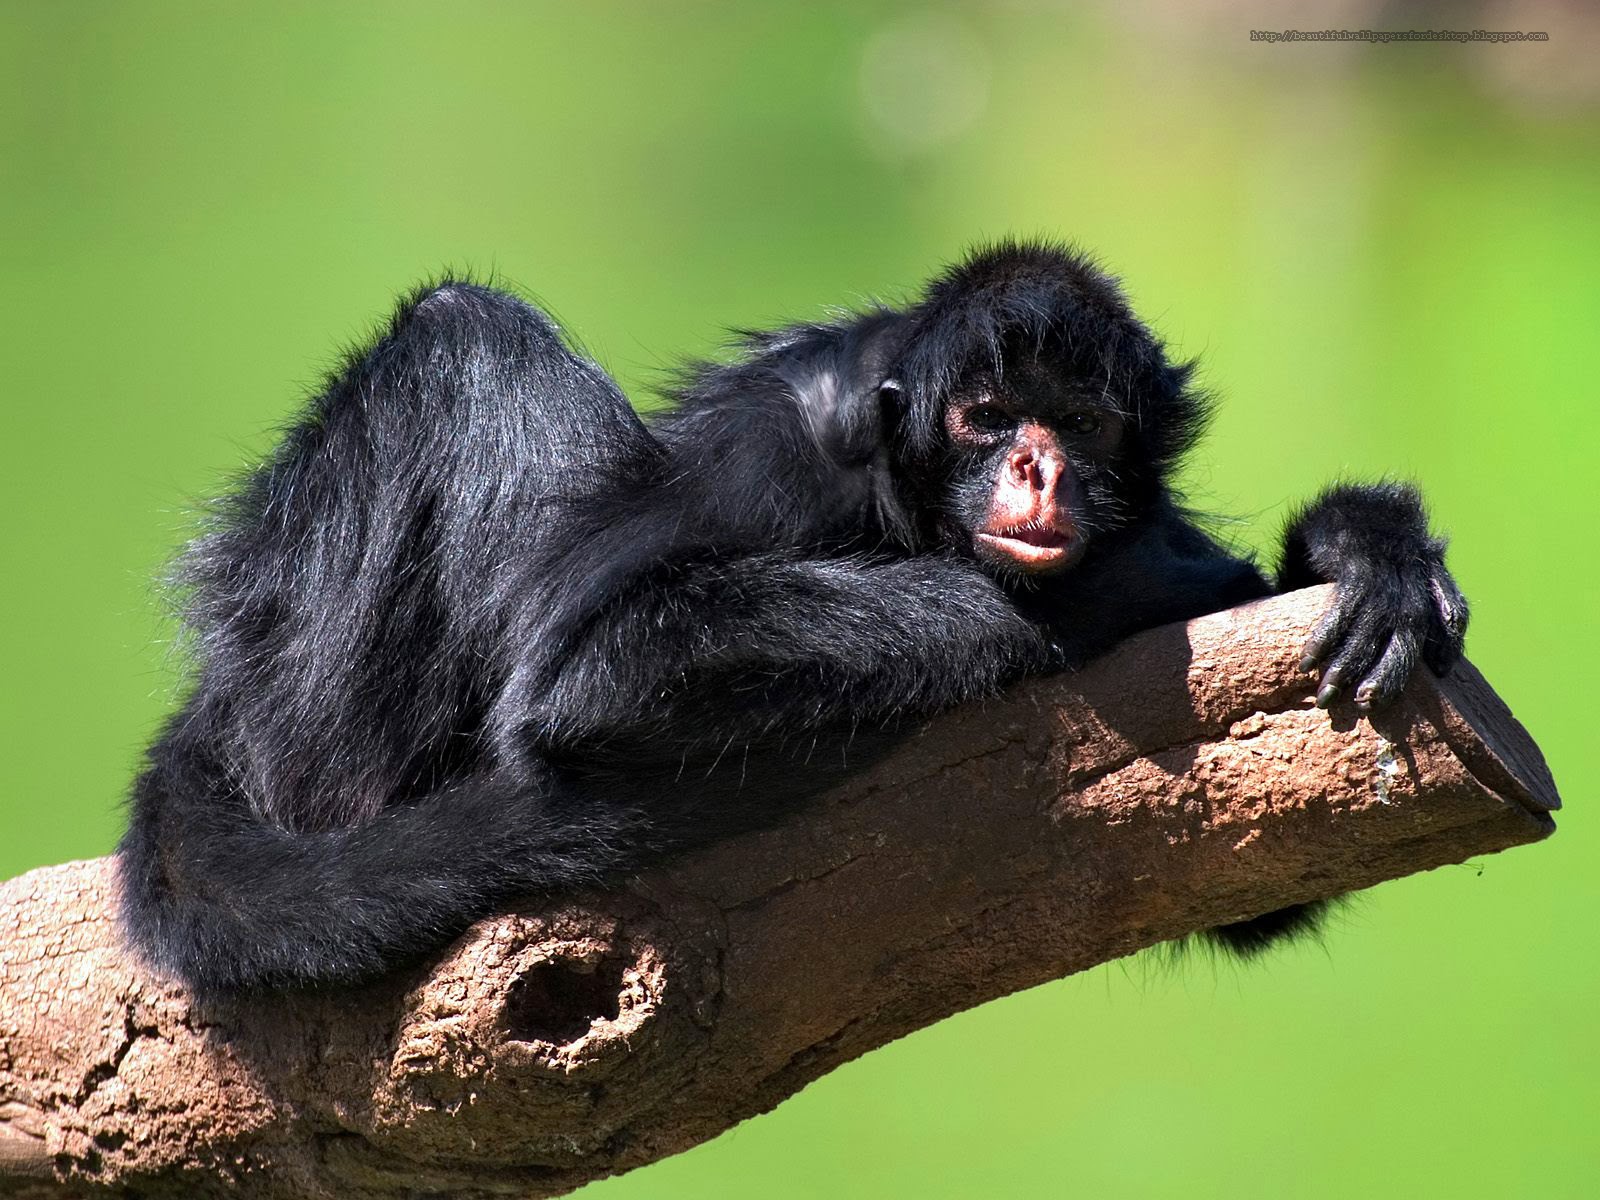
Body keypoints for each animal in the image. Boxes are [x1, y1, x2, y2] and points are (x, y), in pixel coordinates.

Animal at [116, 240, 1468, 992]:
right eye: (986, 417)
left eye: (1078, 423)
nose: (1037, 467)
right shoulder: (785, 448)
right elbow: (589, 672)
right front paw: (1111, 591)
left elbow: (1255, 891)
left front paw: (1362, 545)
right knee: (464, 329)